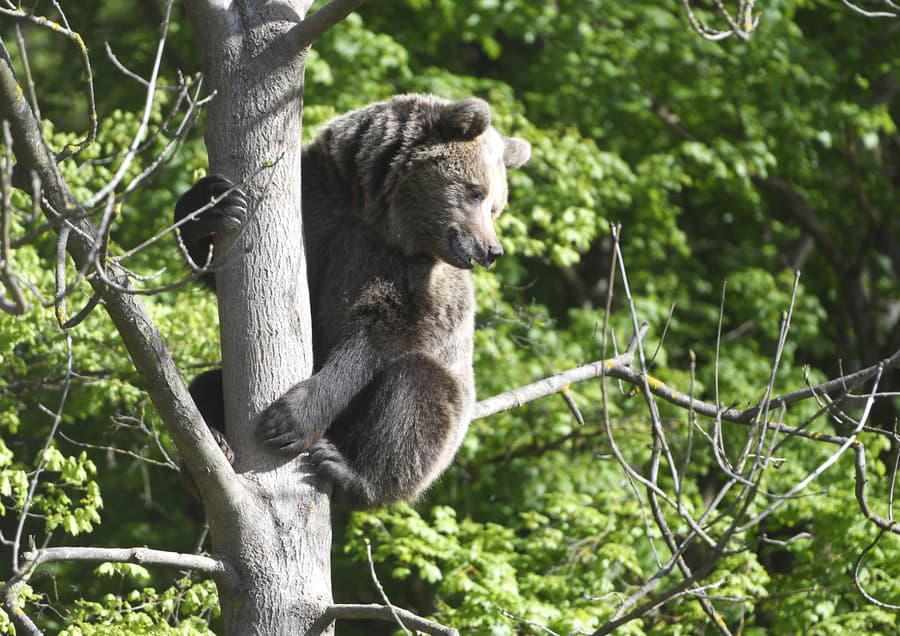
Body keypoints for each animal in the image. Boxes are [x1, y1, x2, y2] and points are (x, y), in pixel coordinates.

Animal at [173, 93, 532, 506]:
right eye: (476, 192)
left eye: (495, 206)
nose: (491, 250)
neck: (376, 212)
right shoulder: (317, 209)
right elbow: (215, 269)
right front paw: (213, 203)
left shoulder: (405, 275)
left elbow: (380, 334)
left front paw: (289, 419)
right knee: (206, 386)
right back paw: (214, 443)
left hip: (446, 423)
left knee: (418, 392)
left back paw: (350, 471)